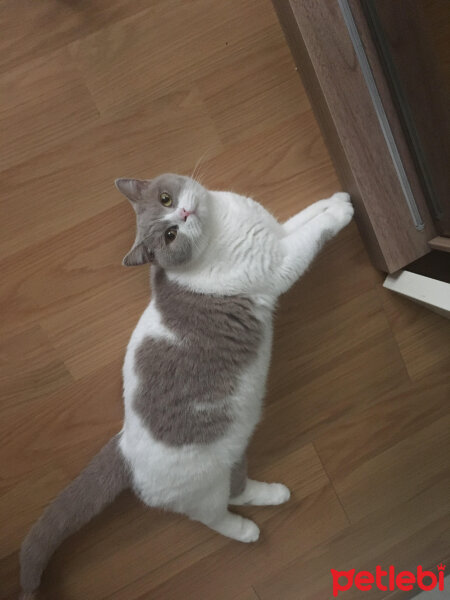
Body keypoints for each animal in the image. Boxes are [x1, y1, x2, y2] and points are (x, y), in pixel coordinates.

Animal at [18, 171, 356, 596]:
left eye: (166, 199)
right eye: (169, 236)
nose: (182, 212)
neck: (222, 224)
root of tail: (124, 446)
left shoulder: (275, 232)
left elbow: (307, 215)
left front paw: (337, 199)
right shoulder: (279, 261)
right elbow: (312, 233)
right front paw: (343, 213)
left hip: (231, 455)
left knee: (239, 488)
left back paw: (276, 494)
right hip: (200, 493)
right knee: (214, 517)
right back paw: (247, 531)